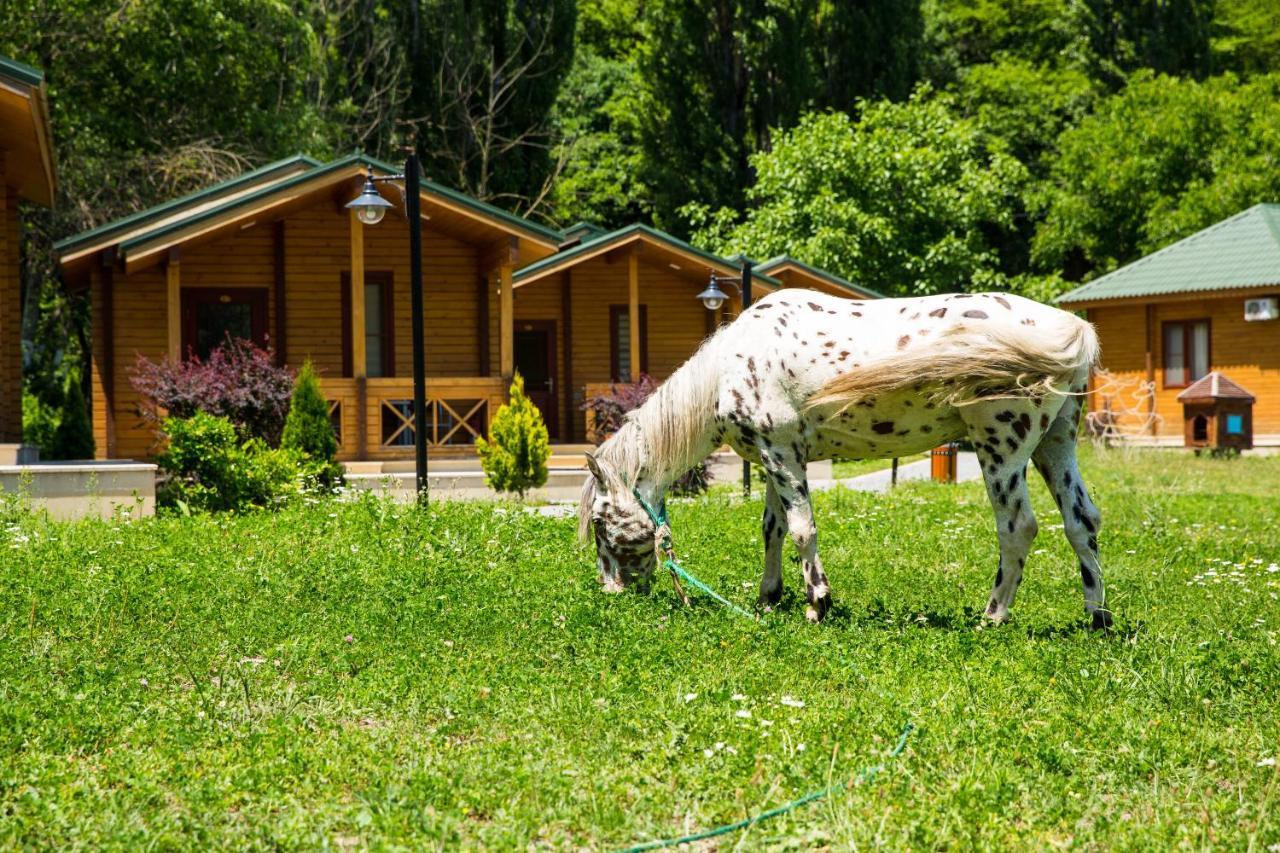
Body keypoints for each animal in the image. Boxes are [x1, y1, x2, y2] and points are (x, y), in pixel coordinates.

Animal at [581, 289, 1111, 627]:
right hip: (1055, 445)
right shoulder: (777, 460)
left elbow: (802, 530)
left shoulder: (783, 458)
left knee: (1018, 528)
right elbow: (773, 529)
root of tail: (1070, 328)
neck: (732, 364)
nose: (613, 590)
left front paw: (818, 604)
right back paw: (1097, 617)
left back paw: (993, 617)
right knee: (1081, 520)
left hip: (1001, 449)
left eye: (601, 521)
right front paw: (769, 600)